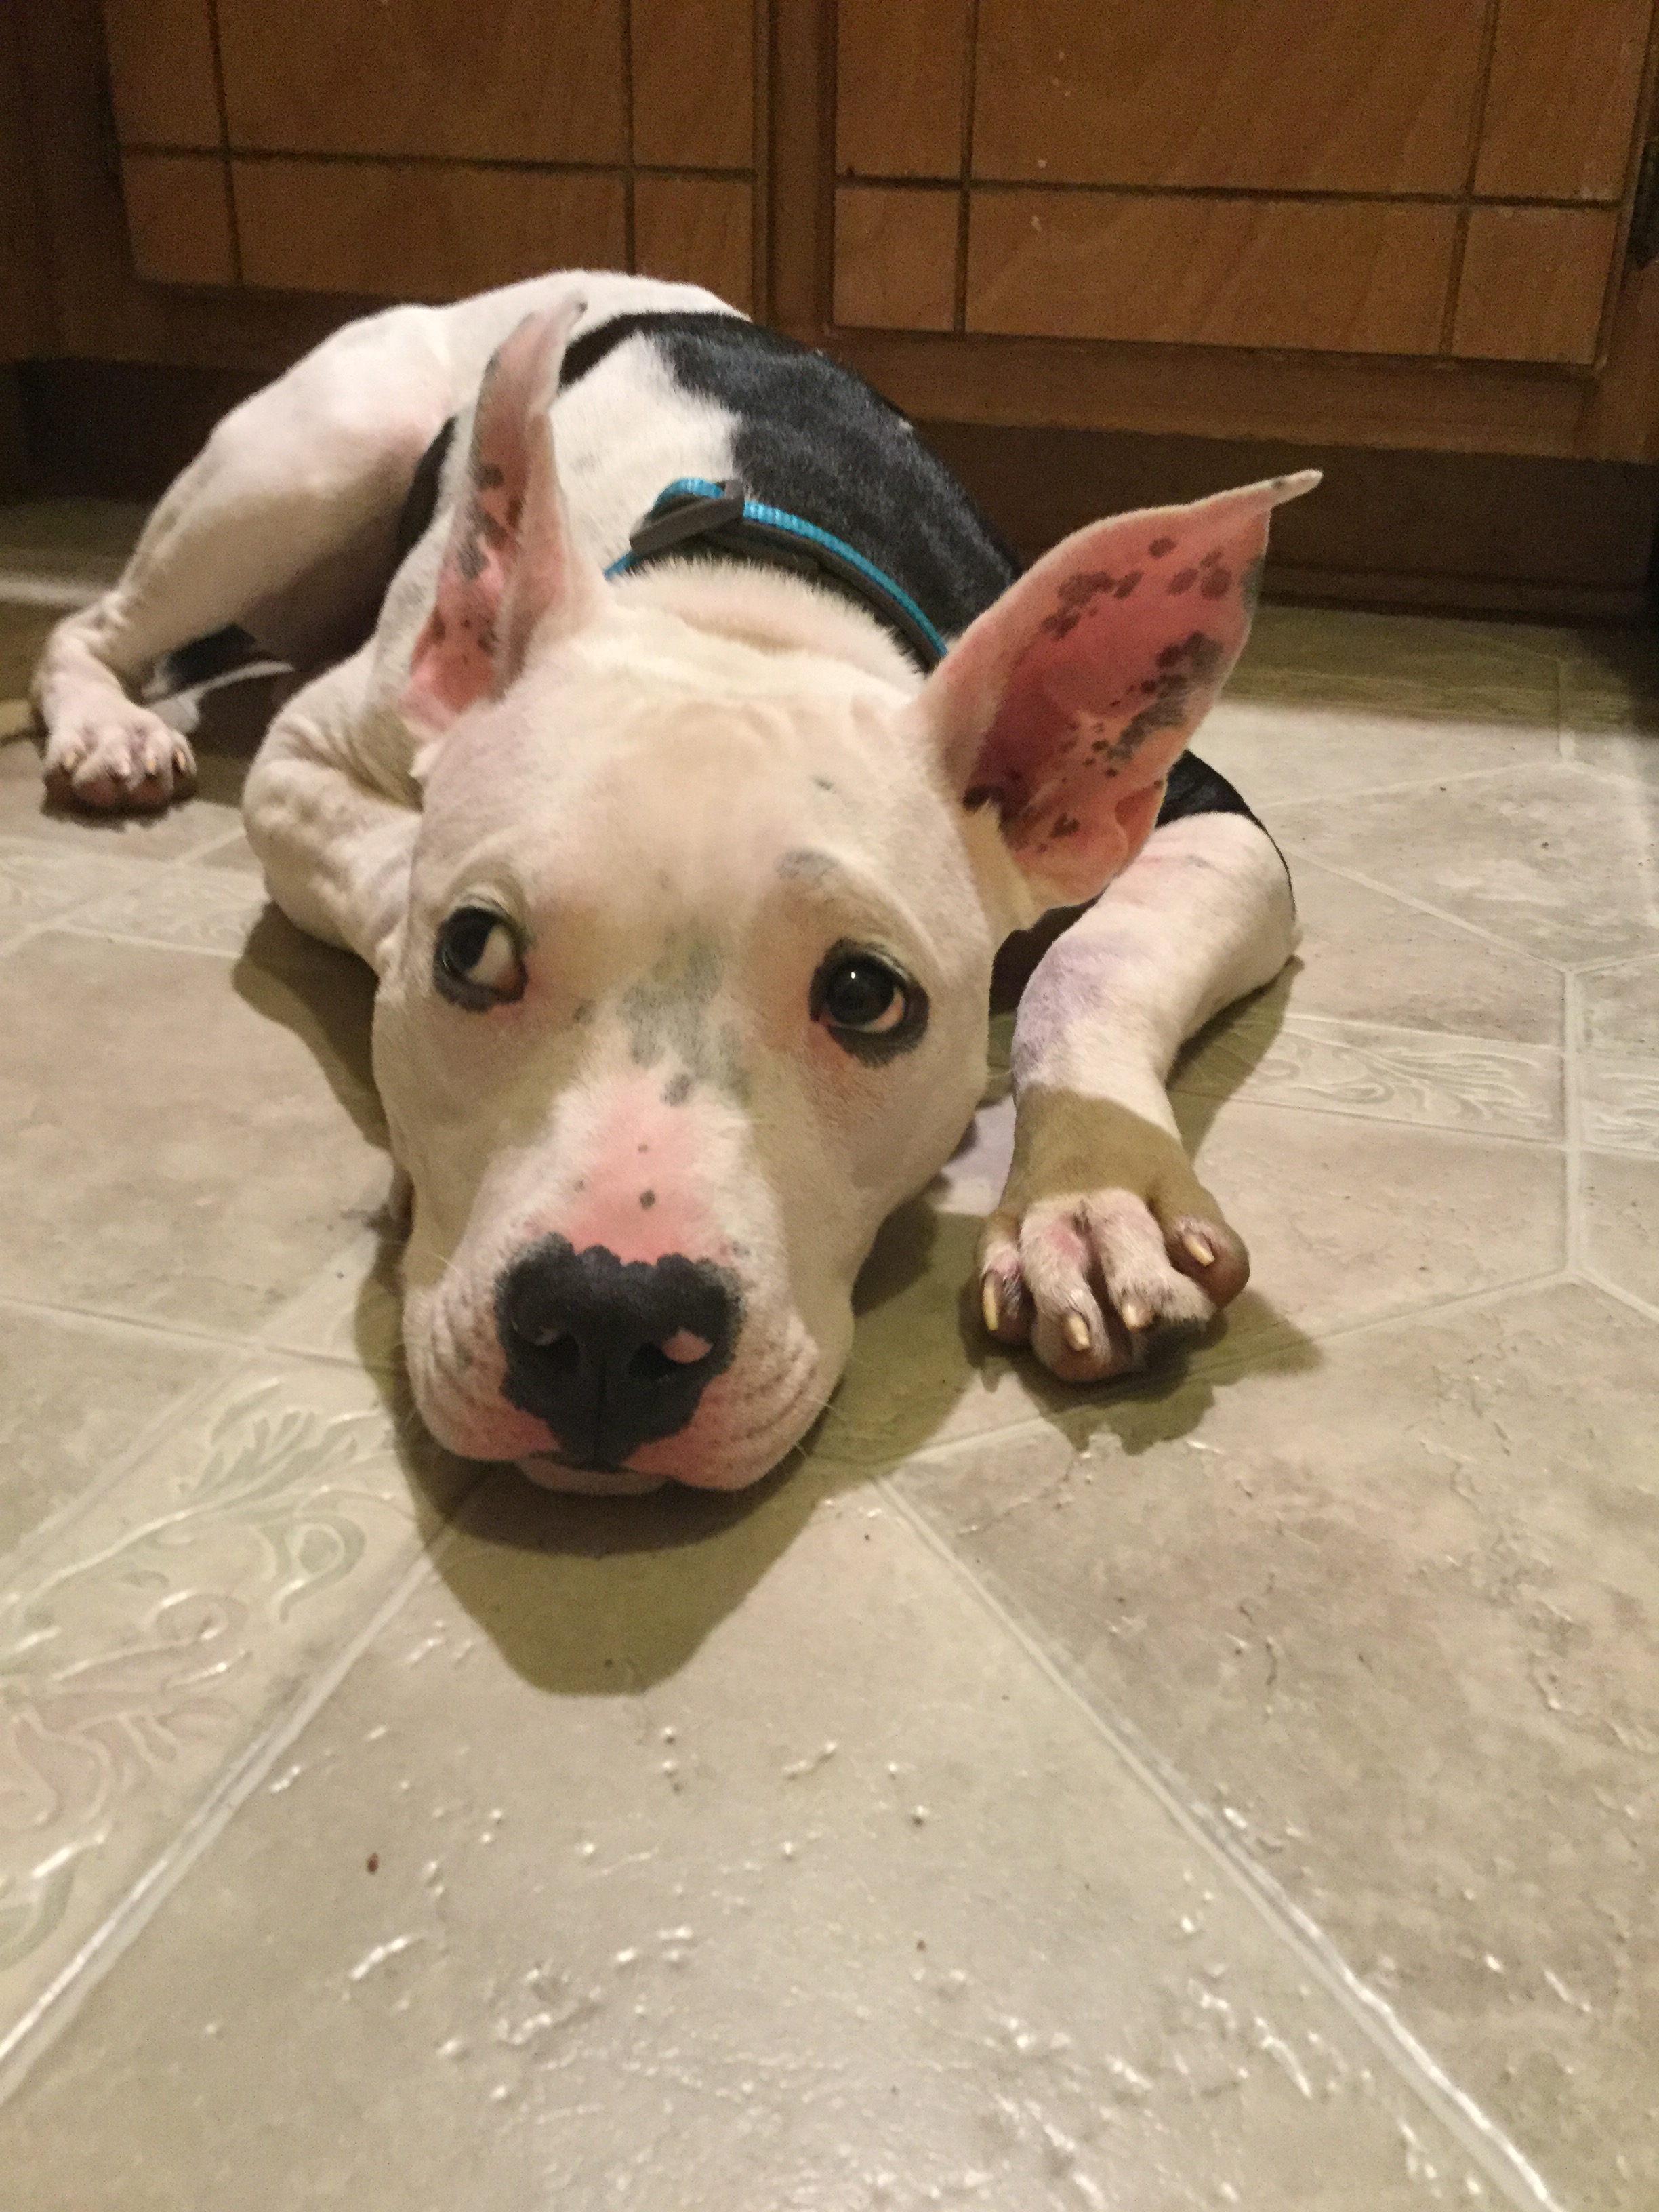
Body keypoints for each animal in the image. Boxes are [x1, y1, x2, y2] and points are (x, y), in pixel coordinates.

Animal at [33, 272, 1314, 1493]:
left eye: (865, 996)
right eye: (473, 949)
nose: (607, 1320)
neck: (739, 610)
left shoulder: (1214, 823)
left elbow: (1086, 964)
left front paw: (1092, 1195)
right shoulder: (305, 755)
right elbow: (388, 863)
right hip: (317, 458)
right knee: (93, 626)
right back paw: (108, 728)